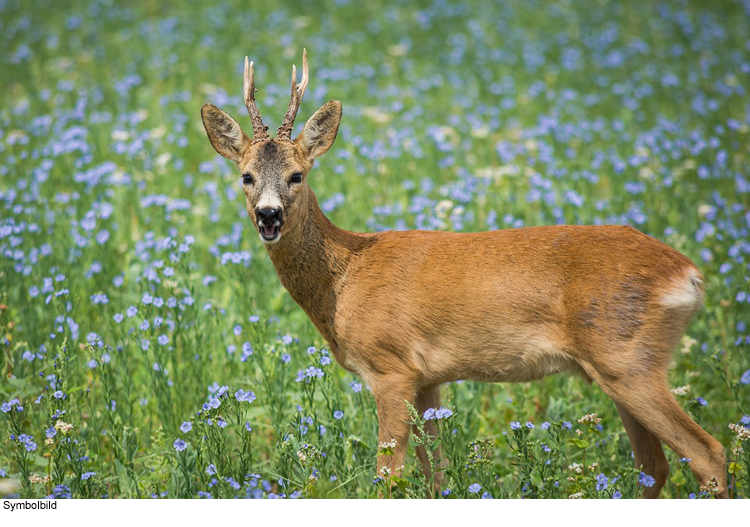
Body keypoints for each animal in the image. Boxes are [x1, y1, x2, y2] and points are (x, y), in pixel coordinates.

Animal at [200, 50, 728, 500]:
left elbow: (387, 480)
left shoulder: (390, 367)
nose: (268, 215)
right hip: (620, 368)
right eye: (246, 175)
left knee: (708, 453)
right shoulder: (428, 378)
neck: (345, 279)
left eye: (297, 175)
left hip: (627, 358)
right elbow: (437, 476)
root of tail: (688, 274)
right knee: (654, 467)